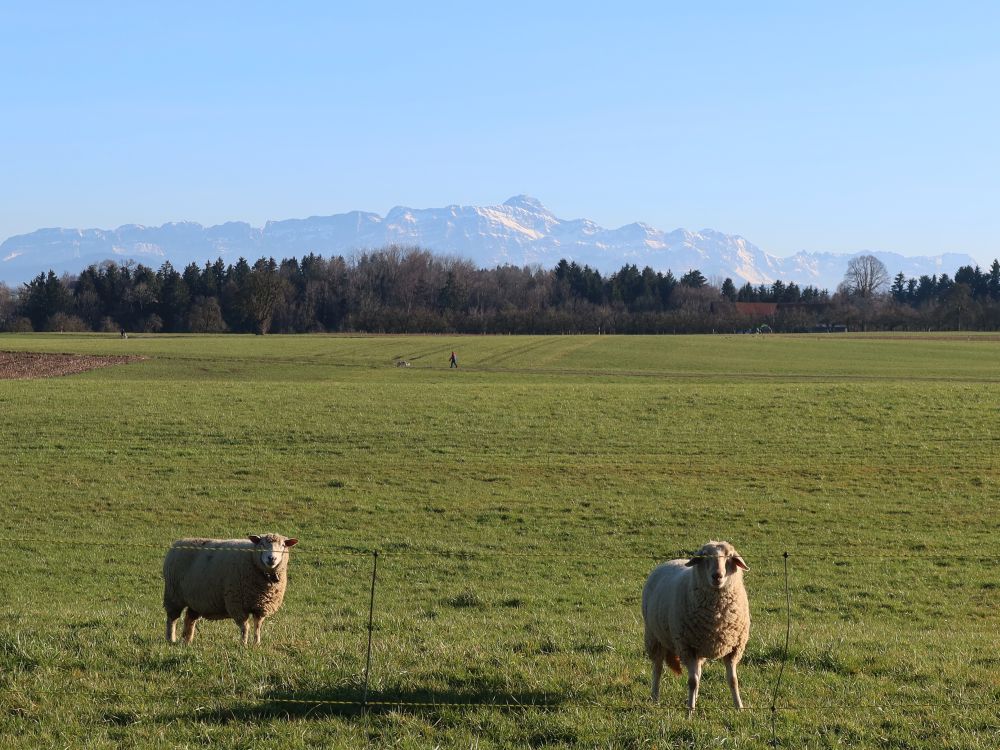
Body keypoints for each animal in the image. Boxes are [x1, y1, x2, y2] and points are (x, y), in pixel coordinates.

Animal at [162, 536, 296, 648]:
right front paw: (244, 644)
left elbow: (257, 626)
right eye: (261, 544)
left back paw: (187, 641)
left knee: (189, 619)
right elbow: (245, 627)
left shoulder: (260, 606)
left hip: (196, 600)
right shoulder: (237, 604)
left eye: (283, 545)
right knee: (172, 619)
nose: (271, 558)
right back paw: (171, 639)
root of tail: (177, 542)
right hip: (173, 594)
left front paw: (256, 643)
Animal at [640, 544, 752, 712]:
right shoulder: (687, 647)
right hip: (654, 637)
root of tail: (670, 561)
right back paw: (655, 697)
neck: (717, 616)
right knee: (658, 668)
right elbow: (692, 682)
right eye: (704, 557)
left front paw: (739, 707)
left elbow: (733, 680)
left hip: (698, 649)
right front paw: (690, 711)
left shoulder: (733, 649)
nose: (717, 576)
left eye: (729, 556)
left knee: (698, 672)